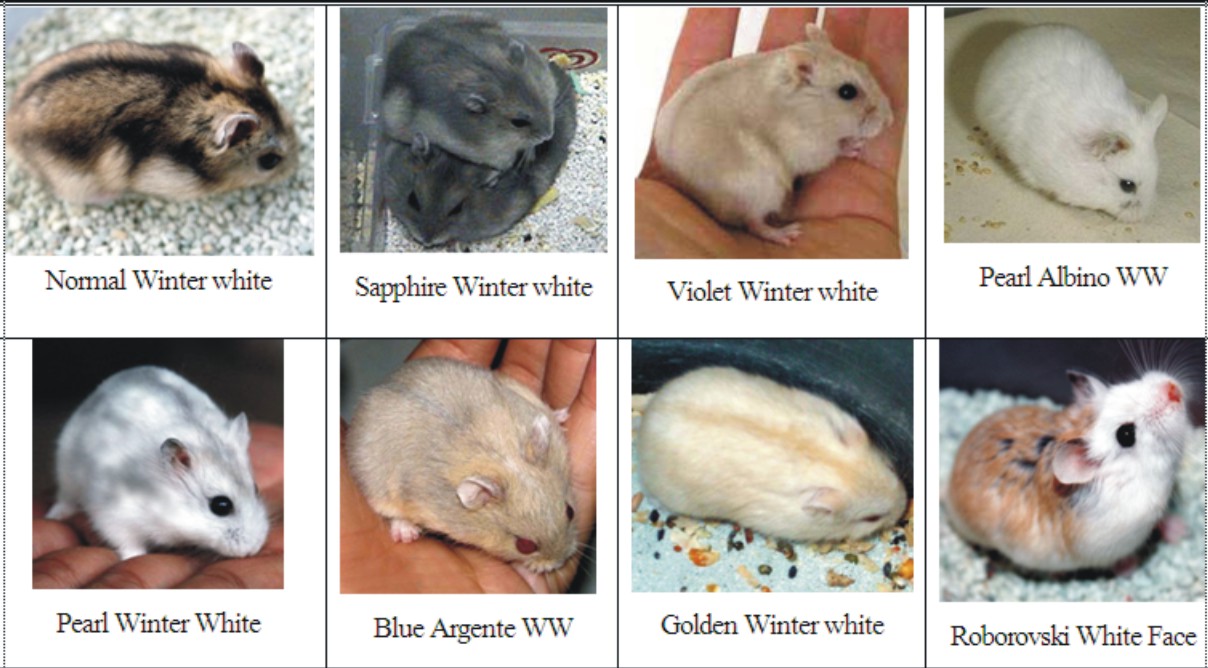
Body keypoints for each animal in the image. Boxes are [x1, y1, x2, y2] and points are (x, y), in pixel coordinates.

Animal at [46, 366, 269, 561]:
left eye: (256, 489)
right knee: (65, 498)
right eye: (221, 506)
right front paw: (134, 557)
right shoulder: (114, 514)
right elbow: (127, 541)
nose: (254, 549)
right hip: (65, 469)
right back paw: (55, 517)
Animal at [346, 357, 577, 573]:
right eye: (525, 545)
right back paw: (406, 533)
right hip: (377, 485)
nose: (559, 563)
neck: (501, 463)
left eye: (570, 511)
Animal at [653, 24, 893, 246]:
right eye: (847, 92)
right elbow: (832, 151)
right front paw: (854, 146)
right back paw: (787, 234)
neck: (806, 109)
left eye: (865, 67)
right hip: (761, 189)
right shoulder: (807, 145)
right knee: (753, 223)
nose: (890, 121)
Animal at [946, 370, 1191, 572]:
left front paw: (1180, 530)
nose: (1174, 390)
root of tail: (948, 489)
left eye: (1121, 387)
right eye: (1126, 434)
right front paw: (1130, 567)